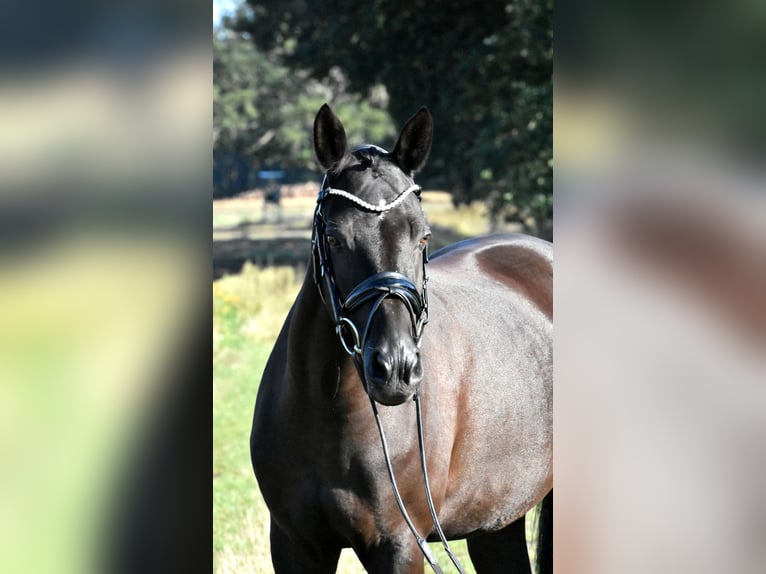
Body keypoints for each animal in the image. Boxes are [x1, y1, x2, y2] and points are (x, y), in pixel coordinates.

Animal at [252, 104, 552, 574]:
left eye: (423, 235)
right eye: (334, 237)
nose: (396, 369)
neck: (329, 411)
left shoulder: (400, 545)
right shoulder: (293, 544)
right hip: (497, 521)